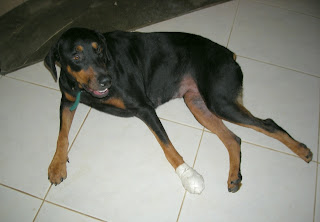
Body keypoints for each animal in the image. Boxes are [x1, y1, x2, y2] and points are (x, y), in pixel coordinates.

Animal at [45, 27, 312, 193]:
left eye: (99, 49)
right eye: (76, 56)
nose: (106, 81)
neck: (84, 89)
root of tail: (229, 54)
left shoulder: (144, 108)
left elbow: (168, 147)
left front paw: (189, 175)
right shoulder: (67, 100)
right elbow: (61, 135)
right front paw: (56, 166)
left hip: (219, 101)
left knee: (268, 124)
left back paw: (302, 150)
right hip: (197, 104)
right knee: (233, 138)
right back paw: (234, 176)